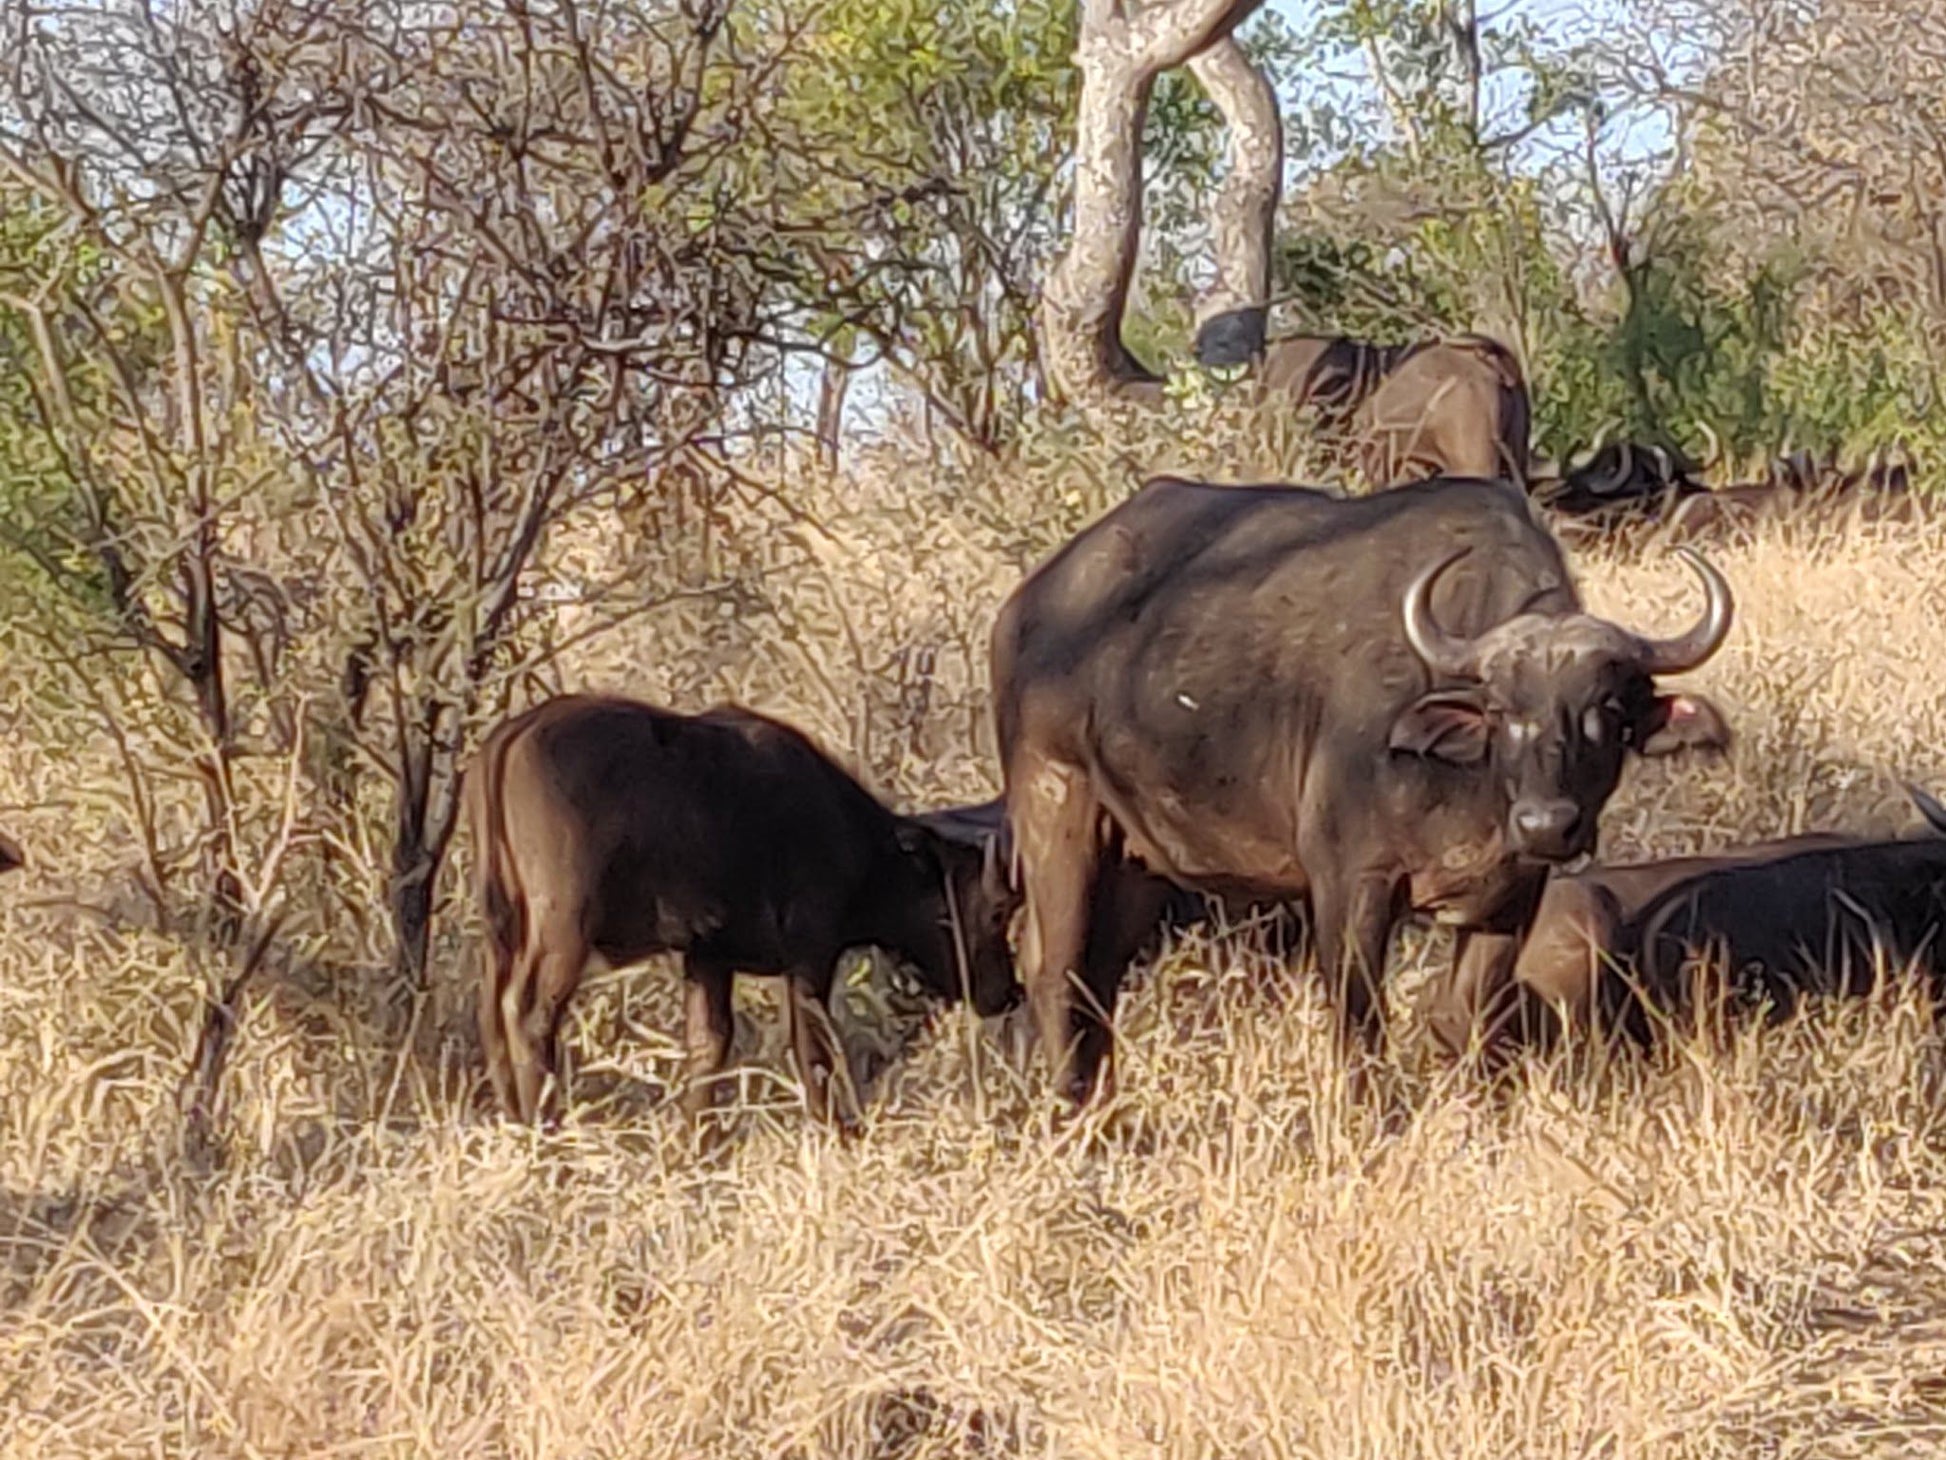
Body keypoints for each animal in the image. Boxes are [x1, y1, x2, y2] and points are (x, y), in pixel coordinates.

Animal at [468, 696, 1019, 1129]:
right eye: (995, 911)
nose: (1008, 992)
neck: (852, 840)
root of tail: (511, 736)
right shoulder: (811, 956)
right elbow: (814, 1049)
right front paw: (834, 1131)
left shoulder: (707, 956)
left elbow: (707, 1045)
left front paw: (695, 1145)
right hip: (562, 929)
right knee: (528, 1013)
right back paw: (545, 1124)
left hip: (502, 932)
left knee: (492, 1014)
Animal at [988, 480, 1735, 1105]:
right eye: (1501, 710)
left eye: (1605, 710)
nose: (1547, 824)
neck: (1467, 782)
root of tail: (1027, 605)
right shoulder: (1350, 884)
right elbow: (1361, 1023)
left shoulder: (1511, 898)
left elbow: (1467, 1018)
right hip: (1055, 805)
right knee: (1055, 967)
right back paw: (1069, 1106)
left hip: (1140, 856)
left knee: (1098, 972)